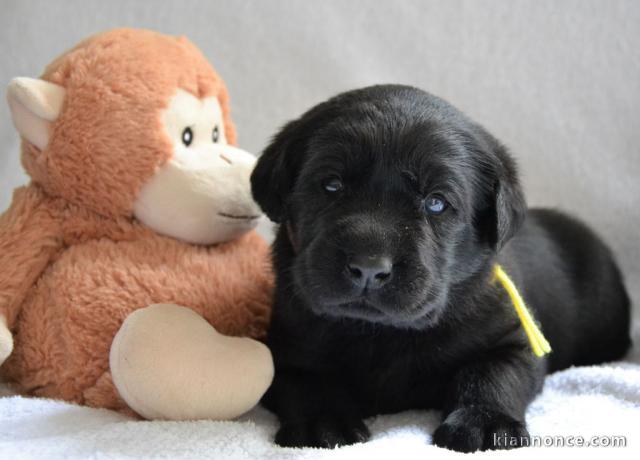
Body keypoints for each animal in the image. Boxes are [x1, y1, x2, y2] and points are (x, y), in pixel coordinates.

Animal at [250, 84, 632, 452]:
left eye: (436, 202)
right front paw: (323, 423)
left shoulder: (514, 340)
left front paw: (485, 423)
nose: (369, 267)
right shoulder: (287, 347)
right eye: (331, 185)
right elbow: (307, 383)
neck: (381, 333)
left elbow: (490, 374)